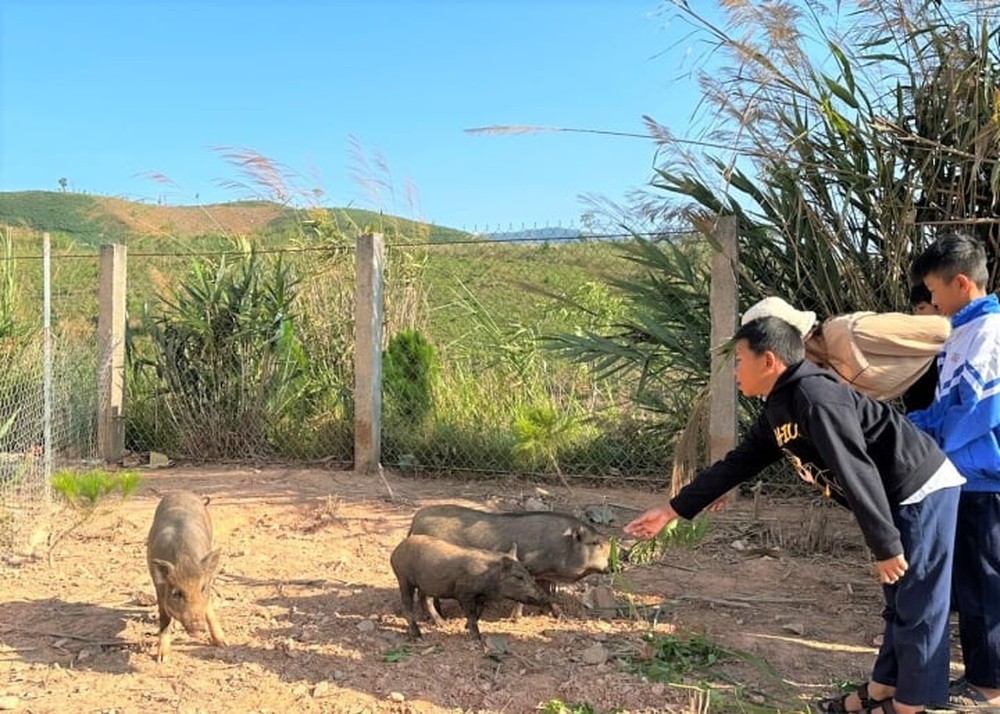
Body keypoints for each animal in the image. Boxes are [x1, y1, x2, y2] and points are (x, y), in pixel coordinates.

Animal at [146, 492, 226, 660]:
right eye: (176, 593)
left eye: (202, 588)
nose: (197, 627)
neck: (184, 560)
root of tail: (181, 491)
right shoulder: (159, 587)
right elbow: (164, 619)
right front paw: (162, 658)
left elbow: (208, 605)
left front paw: (223, 643)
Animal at [390, 532, 552, 636]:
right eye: (519, 577)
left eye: (528, 573)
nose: (545, 597)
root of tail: (396, 550)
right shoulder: (463, 592)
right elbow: (471, 613)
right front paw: (476, 637)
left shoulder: (482, 596)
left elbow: (479, 611)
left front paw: (466, 626)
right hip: (403, 577)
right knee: (407, 603)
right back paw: (417, 635)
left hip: (427, 583)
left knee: (425, 598)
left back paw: (442, 624)